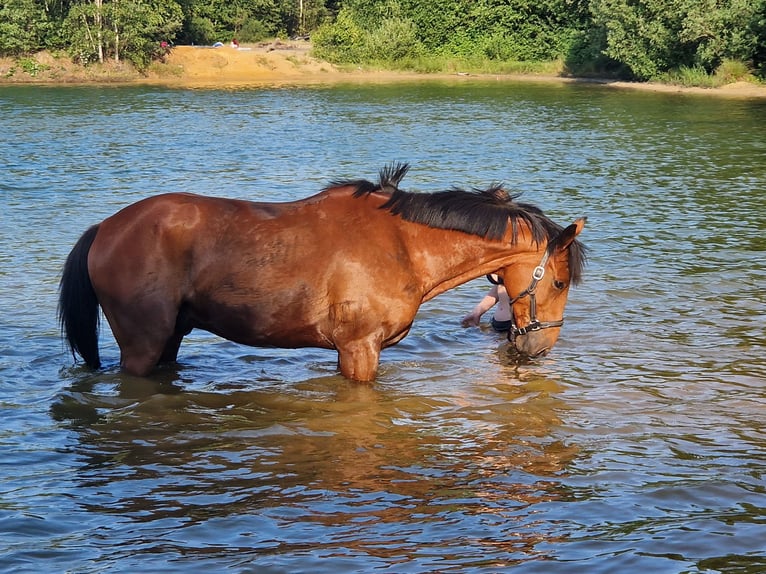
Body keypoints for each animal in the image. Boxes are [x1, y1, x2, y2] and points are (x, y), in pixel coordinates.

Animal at [60, 164, 588, 384]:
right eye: (559, 282)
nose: (540, 346)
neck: (403, 244)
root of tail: (107, 227)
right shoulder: (360, 350)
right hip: (143, 346)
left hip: (170, 338)